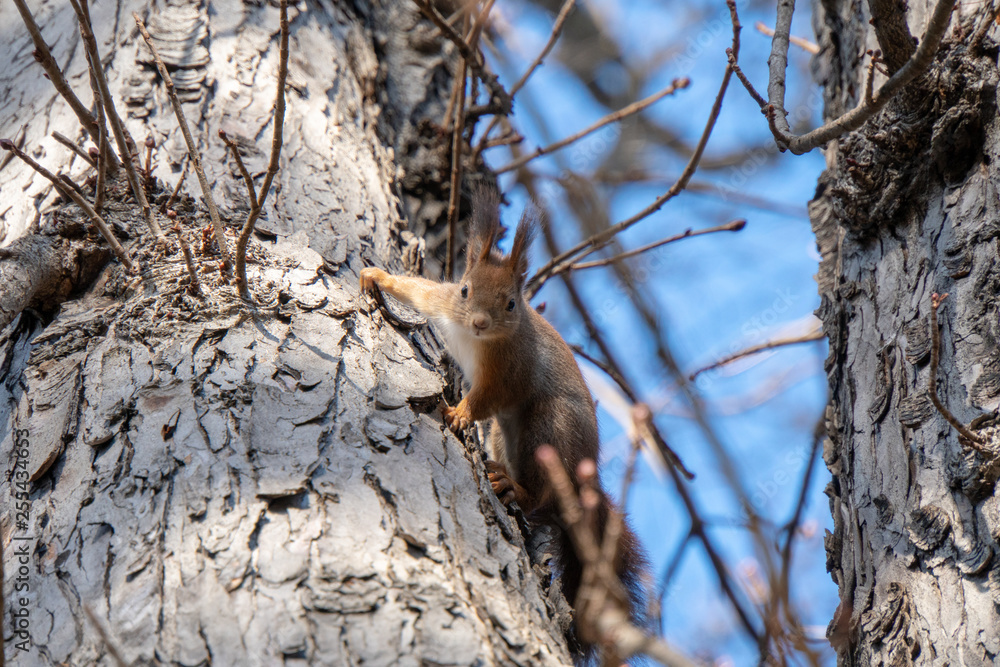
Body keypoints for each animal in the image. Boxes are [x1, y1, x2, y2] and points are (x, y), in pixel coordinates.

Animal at [359, 188, 645, 654]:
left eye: (511, 303)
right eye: (464, 289)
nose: (479, 322)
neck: (474, 339)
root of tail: (584, 482)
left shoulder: (511, 370)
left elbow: (488, 398)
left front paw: (460, 413)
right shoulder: (439, 303)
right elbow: (417, 289)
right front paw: (377, 277)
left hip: (549, 430)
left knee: (544, 501)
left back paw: (514, 488)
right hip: (502, 436)